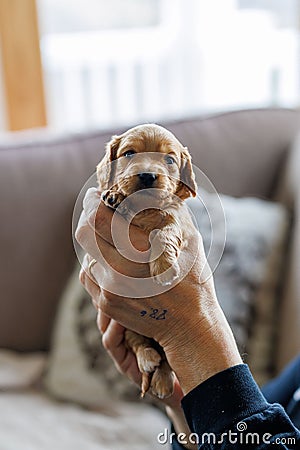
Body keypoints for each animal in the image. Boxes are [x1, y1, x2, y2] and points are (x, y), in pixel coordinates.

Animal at [96, 123, 197, 398]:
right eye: (129, 154)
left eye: (169, 160)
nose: (148, 176)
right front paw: (114, 196)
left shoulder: (178, 220)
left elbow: (164, 233)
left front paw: (163, 269)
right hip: (126, 324)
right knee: (139, 343)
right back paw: (147, 358)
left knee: (167, 360)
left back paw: (162, 381)